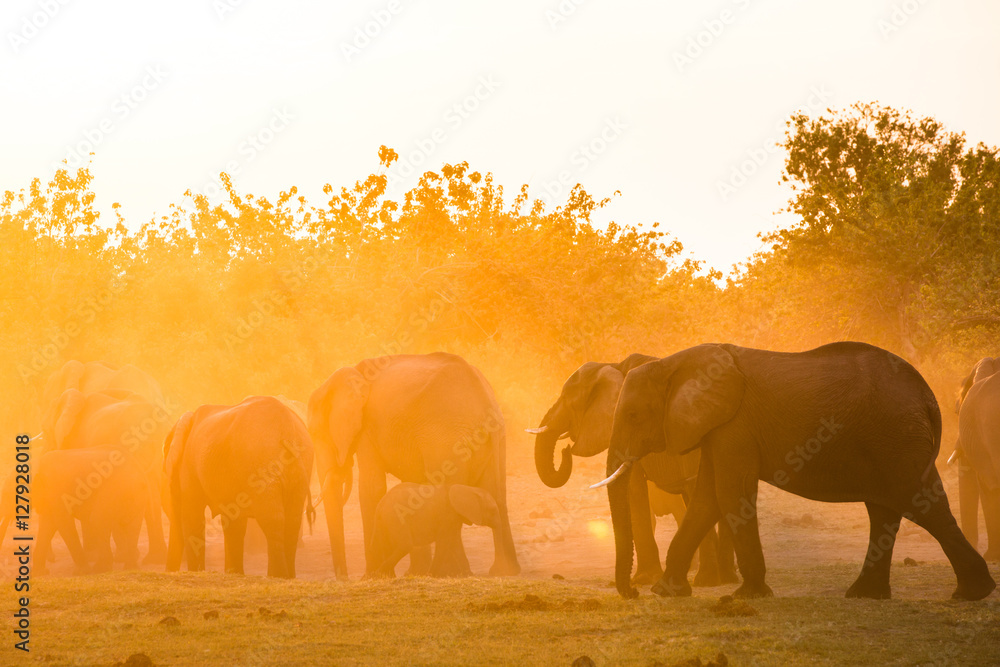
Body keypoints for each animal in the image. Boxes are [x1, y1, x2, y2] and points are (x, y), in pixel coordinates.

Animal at [34, 445, 149, 574]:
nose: (53, 560)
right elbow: (48, 523)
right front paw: (40, 573)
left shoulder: (56, 489)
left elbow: (61, 522)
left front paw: (81, 571)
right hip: (137, 496)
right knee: (132, 526)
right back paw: (130, 568)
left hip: (113, 491)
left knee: (96, 521)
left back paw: (101, 568)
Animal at [163, 396, 314, 578]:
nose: (171, 571)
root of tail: (288, 430)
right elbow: (234, 522)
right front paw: (234, 574)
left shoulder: (189, 467)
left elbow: (193, 516)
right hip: (300, 466)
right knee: (292, 520)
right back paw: (287, 577)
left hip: (262, 464)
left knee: (273, 519)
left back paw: (277, 576)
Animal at [368, 483, 501, 577]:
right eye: (493, 510)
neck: (468, 489)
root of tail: (382, 503)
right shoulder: (447, 515)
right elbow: (444, 542)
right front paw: (431, 575)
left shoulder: (454, 517)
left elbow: (452, 541)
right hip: (395, 516)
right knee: (405, 545)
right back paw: (378, 574)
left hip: (385, 520)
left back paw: (384, 576)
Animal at [530, 354, 737, 586]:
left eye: (567, 400)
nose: (565, 450)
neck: (612, 365)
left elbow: (634, 489)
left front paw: (644, 579)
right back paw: (726, 578)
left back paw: (706, 580)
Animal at [595, 342, 995, 601]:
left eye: (633, 415)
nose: (632, 593)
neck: (673, 362)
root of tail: (929, 398)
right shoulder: (716, 428)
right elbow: (708, 498)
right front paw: (668, 592)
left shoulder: (734, 425)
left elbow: (730, 492)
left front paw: (748, 596)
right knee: (884, 510)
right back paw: (865, 596)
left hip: (897, 438)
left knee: (920, 503)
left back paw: (972, 594)